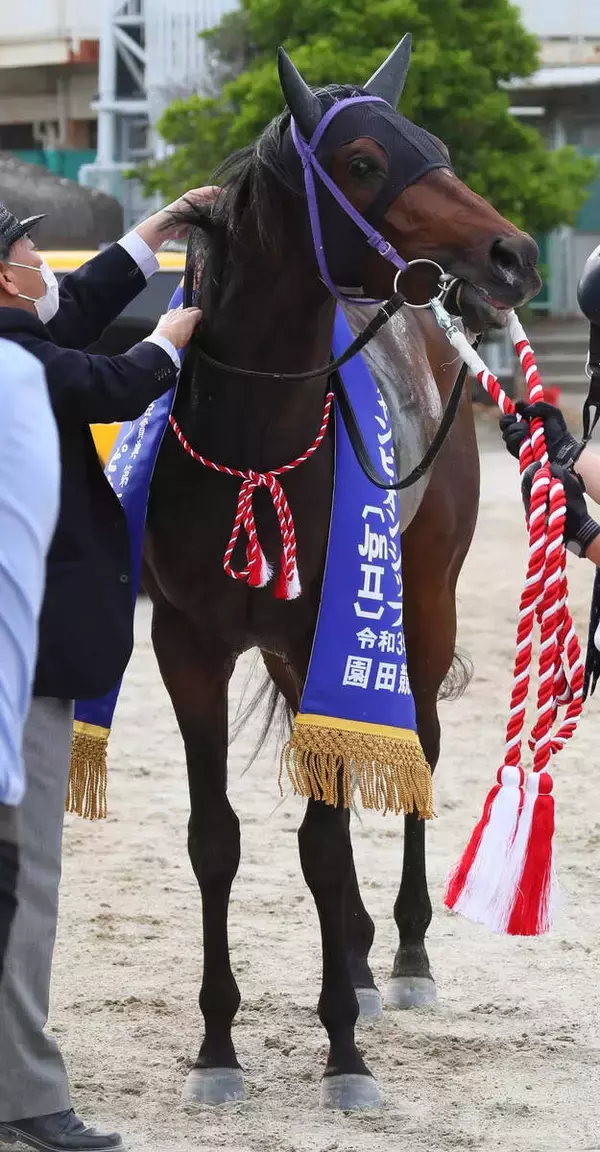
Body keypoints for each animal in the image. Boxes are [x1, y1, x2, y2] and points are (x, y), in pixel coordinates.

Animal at [142, 39, 541, 1110]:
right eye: (363, 162)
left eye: (434, 143)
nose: (514, 254)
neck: (255, 441)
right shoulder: (187, 645)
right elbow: (215, 839)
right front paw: (218, 1048)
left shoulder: (333, 625)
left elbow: (321, 841)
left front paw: (344, 1053)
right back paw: (356, 954)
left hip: (424, 600)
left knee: (423, 752)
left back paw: (399, 956)